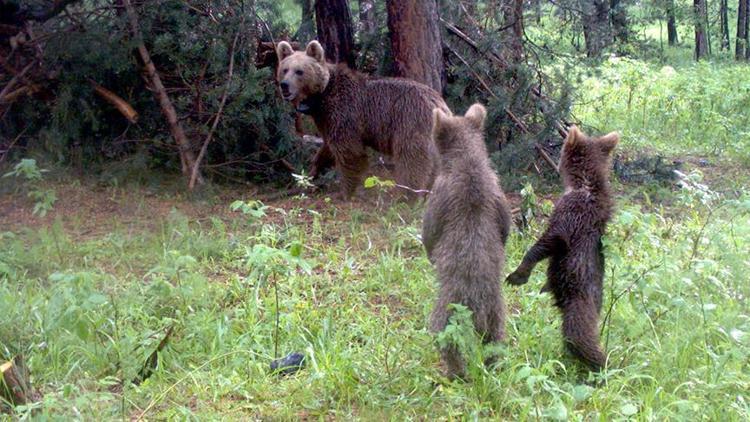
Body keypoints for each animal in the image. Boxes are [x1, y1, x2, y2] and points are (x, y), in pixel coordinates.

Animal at [278, 40, 450, 199]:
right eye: (285, 69)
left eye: (299, 71)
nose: (284, 85)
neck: (321, 98)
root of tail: (440, 104)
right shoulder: (326, 120)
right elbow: (327, 148)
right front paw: (312, 171)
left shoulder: (344, 112)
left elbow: (349, 152)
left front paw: (345, 192)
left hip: (410, 122)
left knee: (412, 160)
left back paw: (408, 195)